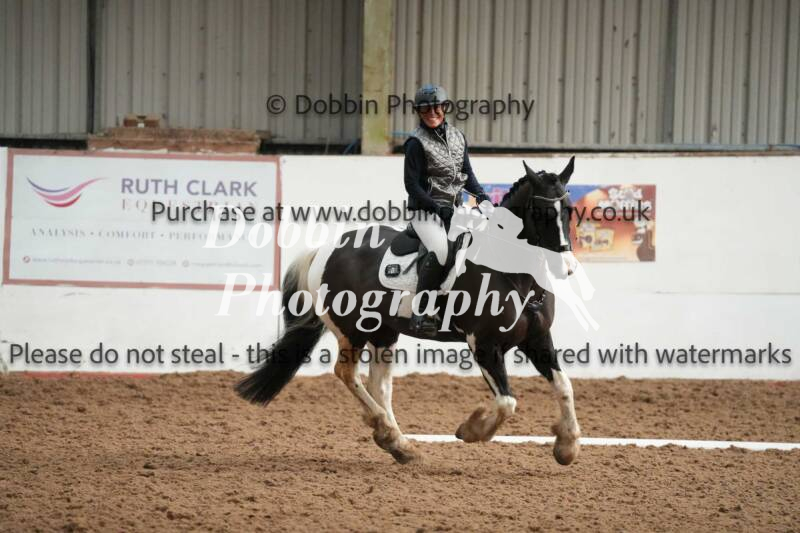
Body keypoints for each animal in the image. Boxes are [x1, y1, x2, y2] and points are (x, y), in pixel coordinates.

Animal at [236, 157, 582, 466]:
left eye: (568, 210)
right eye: (540, 212)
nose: (566, 268)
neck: (511, 273)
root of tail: (327, 249)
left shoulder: (537, 339)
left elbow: (565, 386)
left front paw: (567, 447)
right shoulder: (484, 345)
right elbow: (507, 402)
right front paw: (471, 430)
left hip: (383, 334)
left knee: (379, 386)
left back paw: (399, 445)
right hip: (352, 331)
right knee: (347, 373)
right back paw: (388, 433)